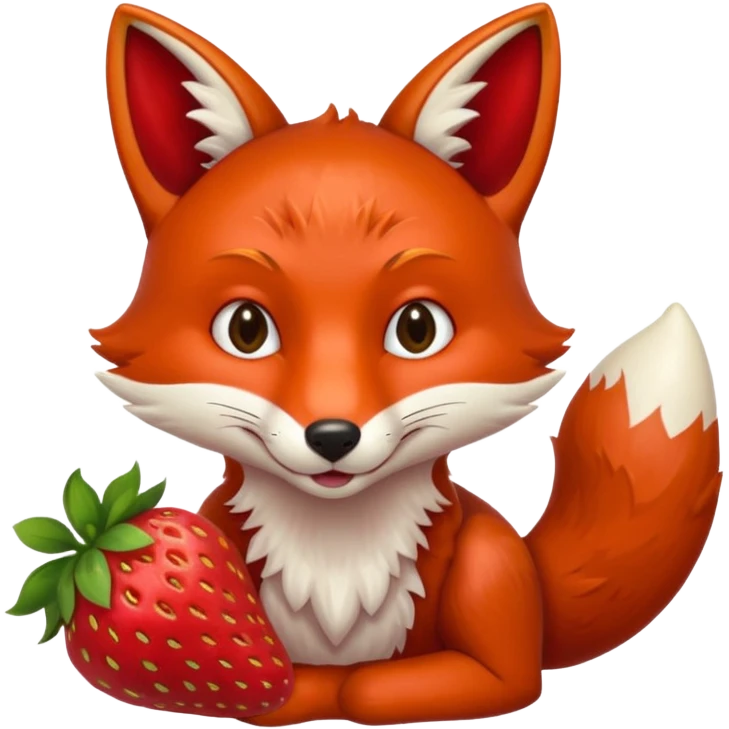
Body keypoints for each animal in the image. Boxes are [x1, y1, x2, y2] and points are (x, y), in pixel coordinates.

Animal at [91, 2, 723, 726]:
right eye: (246, 329)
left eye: (416, 329)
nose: (332, 436)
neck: (335, 549)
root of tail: (535, 581)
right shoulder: (222, 541)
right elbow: (280, 687)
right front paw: (300, 688)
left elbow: (389, 687)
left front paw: (348, 688)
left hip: (488, 559)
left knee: (513, 675)